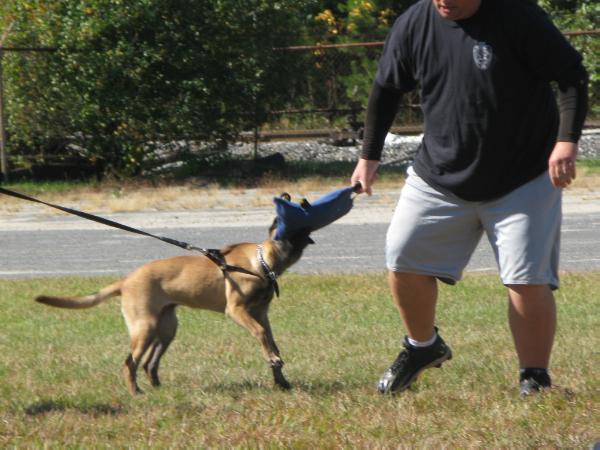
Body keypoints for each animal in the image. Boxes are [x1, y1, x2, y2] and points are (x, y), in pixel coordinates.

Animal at [35, 221, 312, 394]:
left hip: (166, 327)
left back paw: (158, 388)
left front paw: (280, 378)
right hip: (145, 328)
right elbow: (262, 334)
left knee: (149, 364)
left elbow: (270, 340)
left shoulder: (261, 313)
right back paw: (136, 393)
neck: (260, 262)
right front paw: (275, 362)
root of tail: (126, 281)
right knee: (129, 364)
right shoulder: (237, 311)